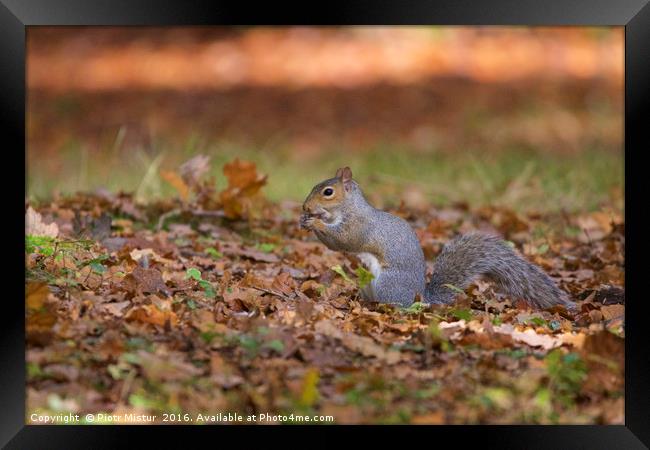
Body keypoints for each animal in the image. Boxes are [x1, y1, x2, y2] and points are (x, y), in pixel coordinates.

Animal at [298, 167, 572, 312]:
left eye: (328, 192)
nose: (306, 207)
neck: (349, 208)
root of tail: (421, 297)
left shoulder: (359, 227)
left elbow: (342, 240)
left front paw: (315, 222)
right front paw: (304, 220)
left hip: (388, 283)